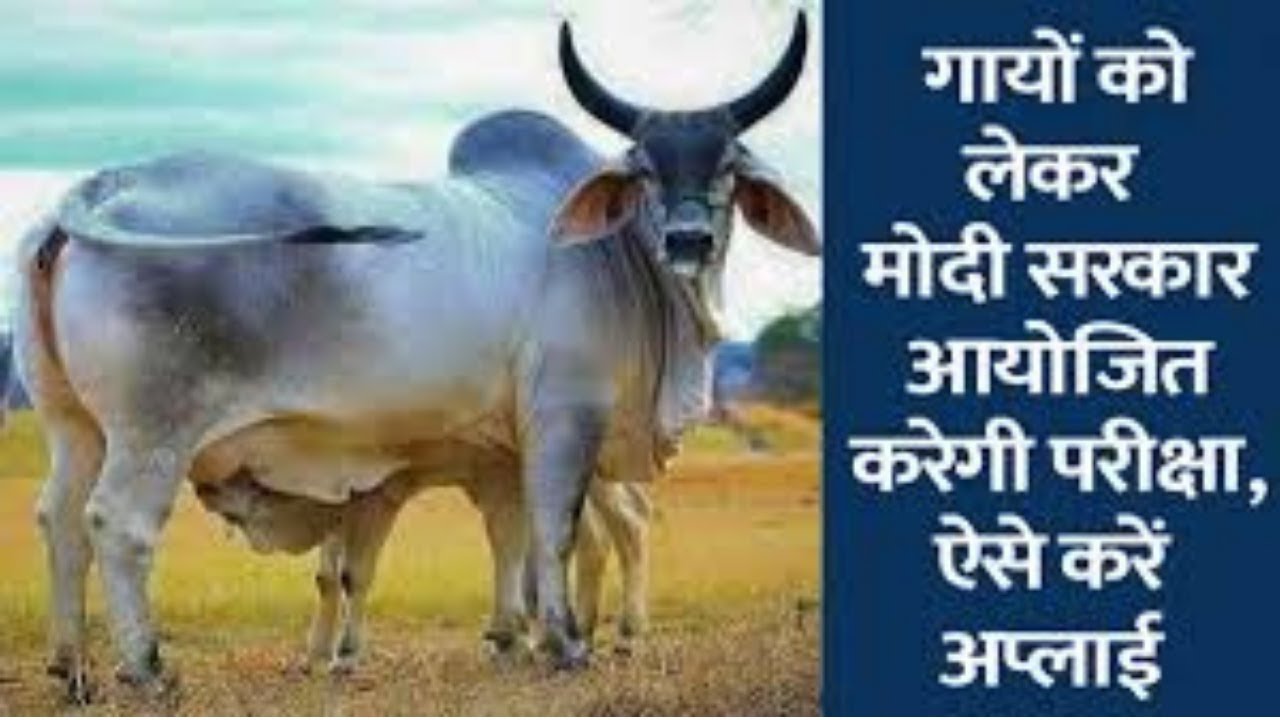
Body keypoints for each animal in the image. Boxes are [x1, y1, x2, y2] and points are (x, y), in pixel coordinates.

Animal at [13, 10, 816, 700]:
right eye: (644, 167)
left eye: (730, 165)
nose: (688, 241)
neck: (614, 257)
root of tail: (102, 185)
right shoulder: (567, 413)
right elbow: (553, 531)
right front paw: (564, 646)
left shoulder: (502, 450)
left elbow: (515, 538)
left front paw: (515, 640)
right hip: (154, 431)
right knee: (118, 524)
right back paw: (146, 670)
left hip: (73, 426)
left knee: (60, 518)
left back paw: (72, 669)